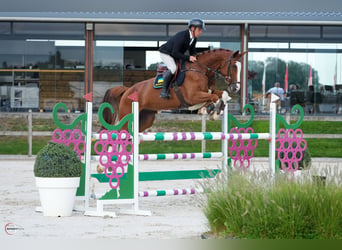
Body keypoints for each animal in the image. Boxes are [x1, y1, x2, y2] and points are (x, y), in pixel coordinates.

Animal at [101, 48, 246, 133]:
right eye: (234, 66)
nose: (236, 88)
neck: (201, 70)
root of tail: (127, 90)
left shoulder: (208, 91)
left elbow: (223, 95)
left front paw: (216, 112)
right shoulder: (193, 97)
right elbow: (214, 98)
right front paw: (209, 111)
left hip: (145, 118)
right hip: (127, 114)